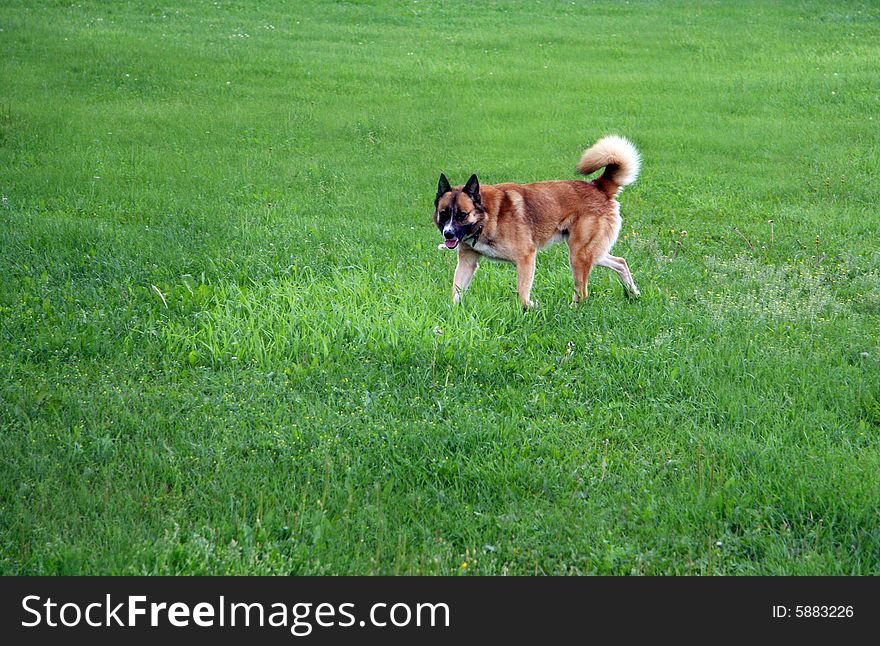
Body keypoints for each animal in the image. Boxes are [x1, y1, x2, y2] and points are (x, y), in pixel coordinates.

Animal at [434, 135, 640, 310]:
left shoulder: (526, 257)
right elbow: (456, 292)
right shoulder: (467, 262)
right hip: (589, 252)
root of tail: (598, 186)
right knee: (620, 262)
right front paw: (451, 314)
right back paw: (633, 294)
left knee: (582, 292)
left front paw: (531, 307)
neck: (486, 217)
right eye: (443, 214)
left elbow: (523, 296)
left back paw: (572, 310)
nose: (448, 233)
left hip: (579, 254)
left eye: (462, 215)